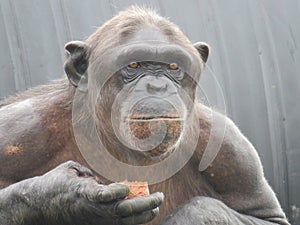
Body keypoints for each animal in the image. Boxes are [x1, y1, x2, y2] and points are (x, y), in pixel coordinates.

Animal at [0, 5, 290, 225]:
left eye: (173, 66)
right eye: (134, 65)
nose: (157, 86)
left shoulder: (231, 151)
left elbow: (266, 217)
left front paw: (188, 217)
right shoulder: (19, 130)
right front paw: (72, 195)